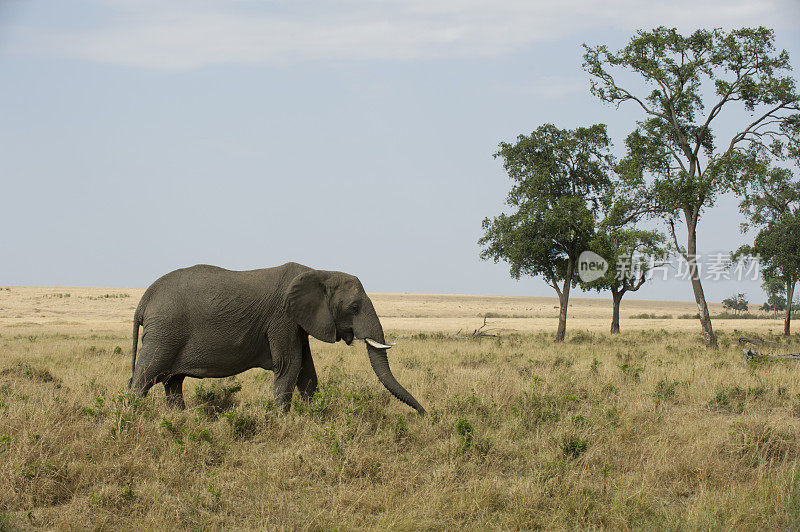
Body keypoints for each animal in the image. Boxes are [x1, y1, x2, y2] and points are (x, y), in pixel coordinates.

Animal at [127, 264, 424, 414]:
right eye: (353, 307)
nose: (424, 416)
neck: (320, 271)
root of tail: (143, 301)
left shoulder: (299, 322)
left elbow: (307, 372)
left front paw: (314, 419)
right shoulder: (283, 318)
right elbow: (289, 367)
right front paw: (283, 422)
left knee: (173, 383)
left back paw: (177, 420)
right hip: (165, 333)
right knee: (144, 377)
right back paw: (131, 416)